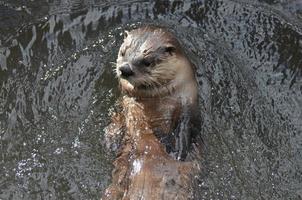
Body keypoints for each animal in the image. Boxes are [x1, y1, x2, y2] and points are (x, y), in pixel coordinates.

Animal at [101, 25, 201, 199]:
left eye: (147, 62)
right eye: (123, 52)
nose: (125, 69)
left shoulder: (188, 103)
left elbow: (187, 126)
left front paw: (179, 153)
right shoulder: (124, 102)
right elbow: (118, 119)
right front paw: (111, 137)